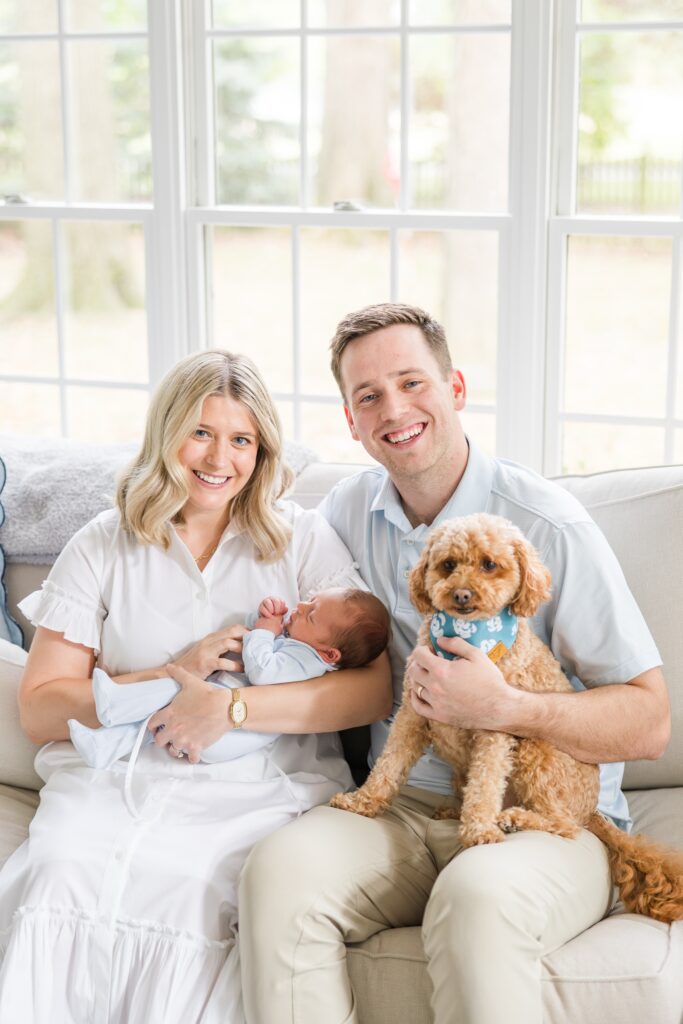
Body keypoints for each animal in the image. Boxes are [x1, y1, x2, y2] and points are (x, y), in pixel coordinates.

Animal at [331, 512, 683, 921]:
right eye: (448, 564)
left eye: (489, 564)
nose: (462, 595)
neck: (466, 641)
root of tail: (593, 811)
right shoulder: (412, 714)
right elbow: (388, 766)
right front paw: (361, 802)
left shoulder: (492, 725)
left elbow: (485, 785)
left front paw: (480, 830)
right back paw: (455, 810)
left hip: (534, 751)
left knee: (564, 825)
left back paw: (514, 819)